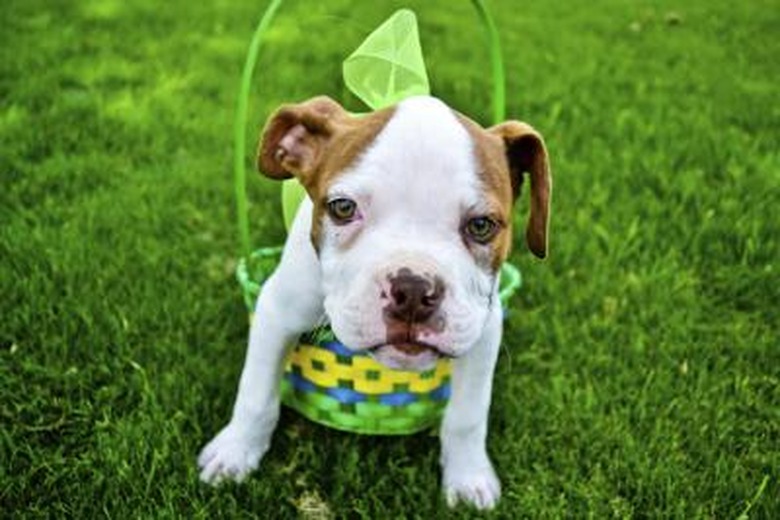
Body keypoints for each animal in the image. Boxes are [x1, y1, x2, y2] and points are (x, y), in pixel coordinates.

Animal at [201, 94, 556, 508]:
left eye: (482, 225)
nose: (414, 291)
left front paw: (469, 478)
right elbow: (256, 393)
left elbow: (468, 416)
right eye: (342, 208)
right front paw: (234, 453)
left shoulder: (484, 330)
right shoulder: (277, 310)